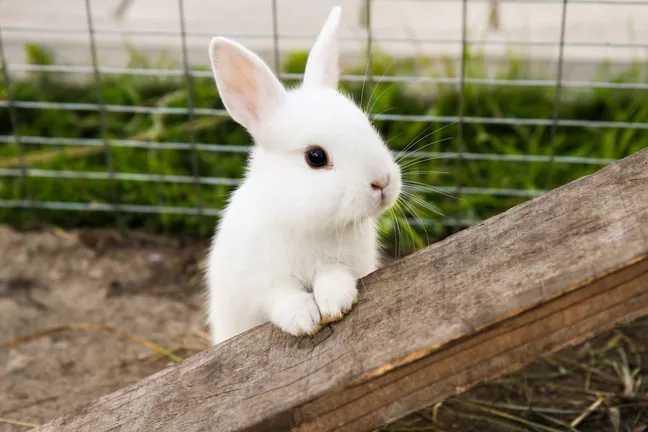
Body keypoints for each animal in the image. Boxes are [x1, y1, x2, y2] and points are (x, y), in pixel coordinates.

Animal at [205, 6, 402, 345]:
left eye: (367, 124)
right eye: (316, 157)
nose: (382, 183)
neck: (308, 225)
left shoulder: (345, 265)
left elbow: (334, 277)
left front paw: (335, 302)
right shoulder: (260, 285)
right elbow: (281, 298)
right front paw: (303, 319)